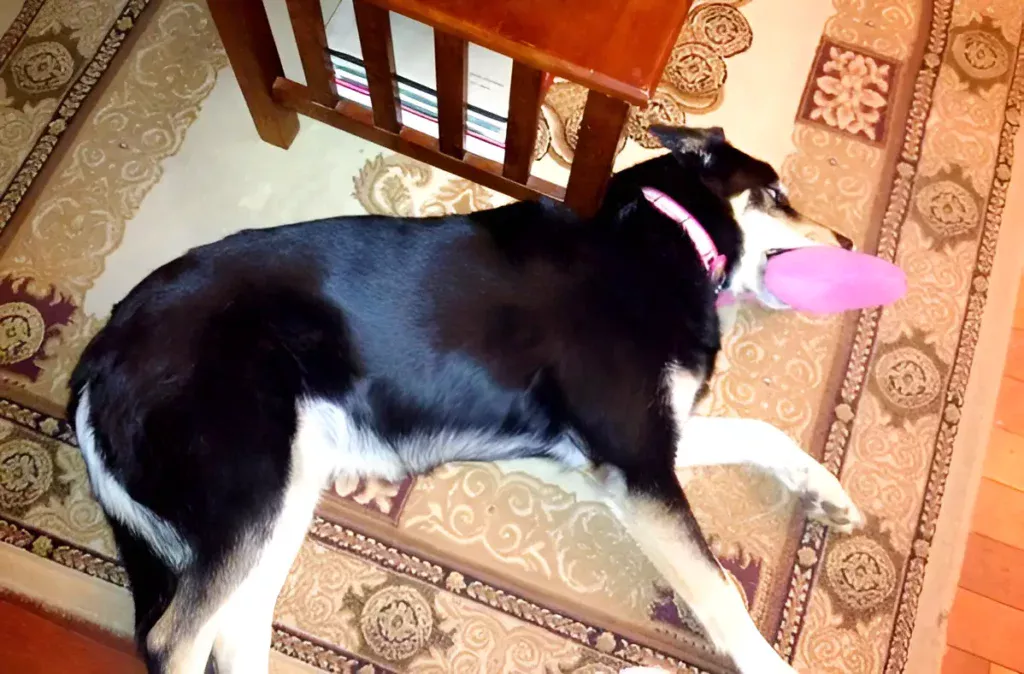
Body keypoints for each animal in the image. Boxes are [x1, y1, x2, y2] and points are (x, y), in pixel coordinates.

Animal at [66, 127, 864, 671]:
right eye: (776, 195)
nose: (852, 241)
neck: (670, 230)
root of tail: (99, 355)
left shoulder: (645, 444)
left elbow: (765, 434)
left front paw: (828, 495)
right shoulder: (639, 464)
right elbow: (721, 593)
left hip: (282, 493)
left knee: (233, 631)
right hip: (251, 484)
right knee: (175, 638)